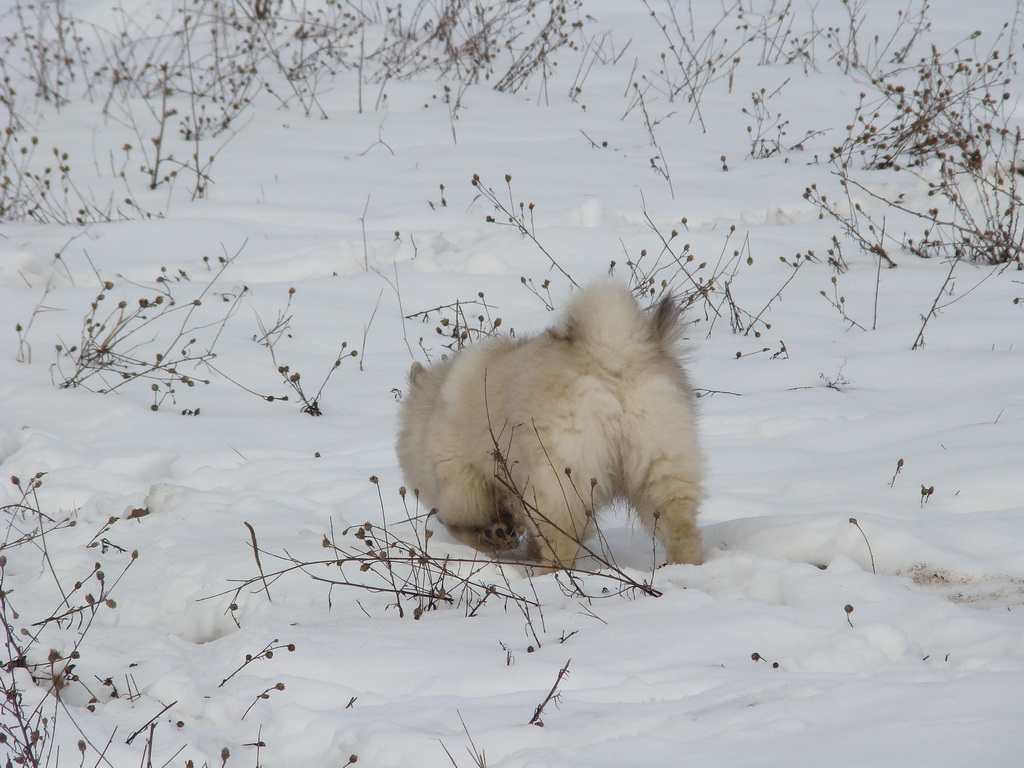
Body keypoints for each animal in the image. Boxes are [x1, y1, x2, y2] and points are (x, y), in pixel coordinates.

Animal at [397, 282, 704, 573]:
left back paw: (548, 576)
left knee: (562, 537)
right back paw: (684, 569)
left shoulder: (462, 474)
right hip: (662, 459)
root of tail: (611, 354)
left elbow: (462, 520)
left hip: (558, 474)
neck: (430, 411)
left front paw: (496, 535)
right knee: (679, 523)